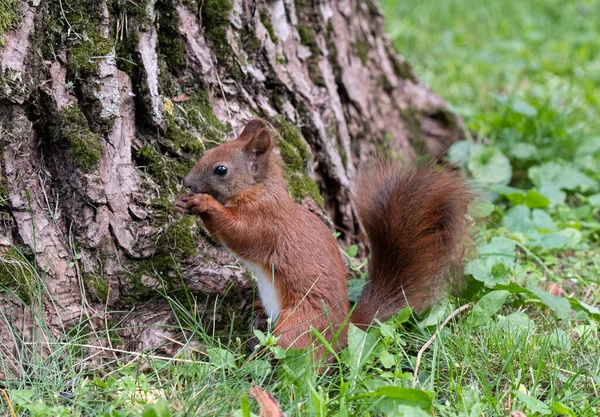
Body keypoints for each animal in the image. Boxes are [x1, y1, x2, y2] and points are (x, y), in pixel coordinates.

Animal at [175, 118, 474, 354]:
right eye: (208, 151)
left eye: (221, 169)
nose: (186, 182)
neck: (260, 190)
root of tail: (343, 331)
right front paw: (183, 203)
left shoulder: (266, 223)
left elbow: (239, 234)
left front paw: (204, 203)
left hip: (299, 326)